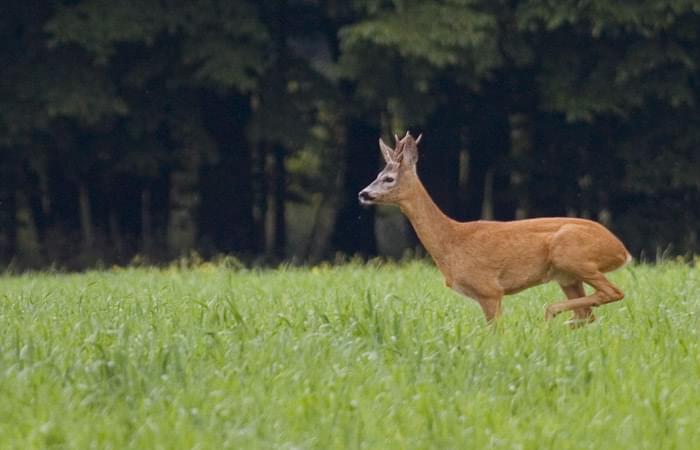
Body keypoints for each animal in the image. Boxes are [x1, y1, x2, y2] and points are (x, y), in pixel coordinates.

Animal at [358, 132, 632, 326]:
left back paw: (549, 314)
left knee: (613, 292)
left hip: (571, 254)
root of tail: (622, 250)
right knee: (587, 313)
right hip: (566, 275)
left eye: (388, 178)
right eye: (378, 174)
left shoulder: (489, 289)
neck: (451, 241)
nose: (363, 193)